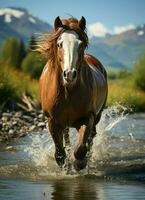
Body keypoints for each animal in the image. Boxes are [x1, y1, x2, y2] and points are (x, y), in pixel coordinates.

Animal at [37, 16, 107, 170]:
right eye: (59, 44)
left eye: (81, 44)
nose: (69, 74)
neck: (67, 92)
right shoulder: (52, 121)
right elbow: (60, 153)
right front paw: (65, 165)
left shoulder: (88, 118)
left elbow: (81, 148)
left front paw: (80, 163)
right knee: (67, 138)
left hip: (97, 115)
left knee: (91, 138)